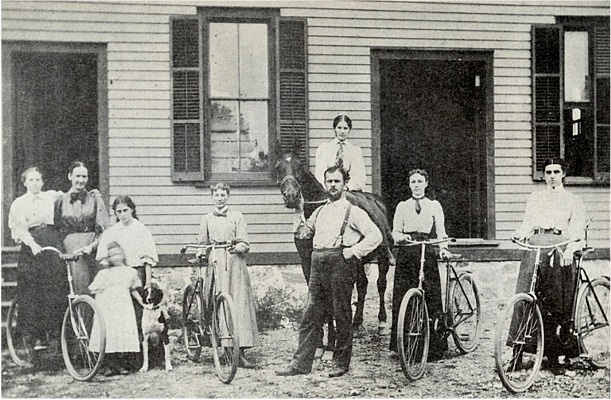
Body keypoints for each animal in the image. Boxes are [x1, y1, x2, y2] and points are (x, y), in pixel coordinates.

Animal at [276, 148, 394, 336]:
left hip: (380, 258)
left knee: (380, 284)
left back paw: (381, 322)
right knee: (363, 285)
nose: (292, 196)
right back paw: (357, 322)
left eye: (299, 166)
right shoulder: (307, 261)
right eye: (278, 167)